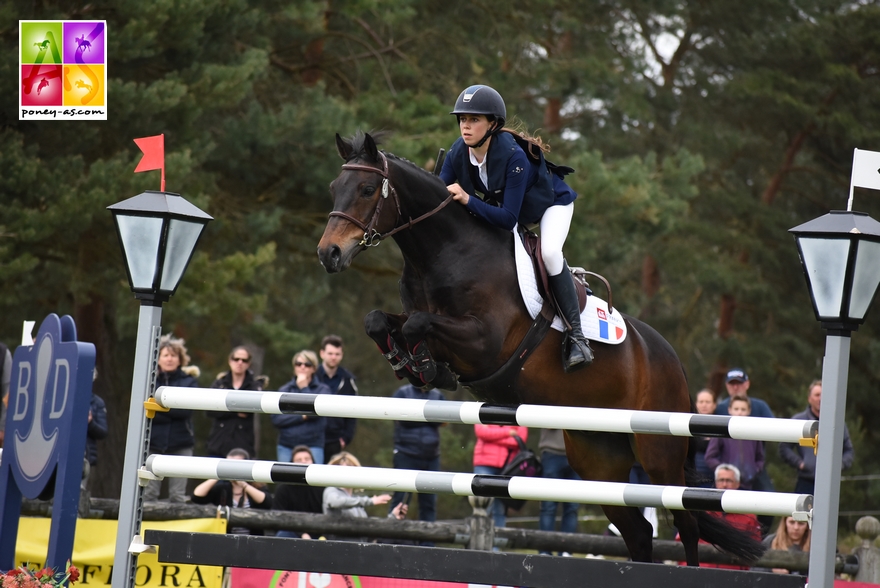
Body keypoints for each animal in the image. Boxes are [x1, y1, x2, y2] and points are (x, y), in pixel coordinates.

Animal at [316, 132, 764, 564]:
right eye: (334, 188)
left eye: (368, 189)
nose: (328, 254)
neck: (443, 252)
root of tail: (672, 360)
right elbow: (379, 320)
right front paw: (407, 363)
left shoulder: (484, 342)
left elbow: (417, 324)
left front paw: (426, 365)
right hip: (597, 456)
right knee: (638, 531)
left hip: (659, 450)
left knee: (685, 524)